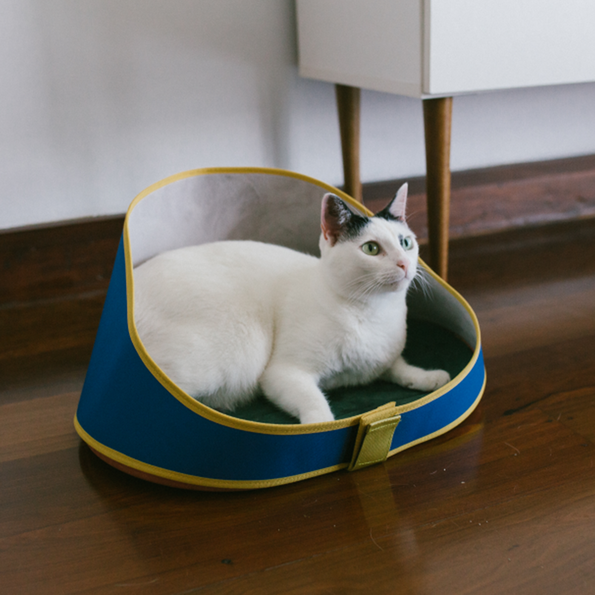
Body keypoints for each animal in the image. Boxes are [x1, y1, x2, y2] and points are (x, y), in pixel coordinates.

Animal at [133, 183, 450, 424]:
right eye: (371, 249)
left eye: (406, 243)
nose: (404, 263)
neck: (372, 312)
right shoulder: (283, 373)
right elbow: (315, 404)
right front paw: (320, 429)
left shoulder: (382, 360)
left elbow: (400, 368)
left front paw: (429, 377)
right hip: (241, 347)